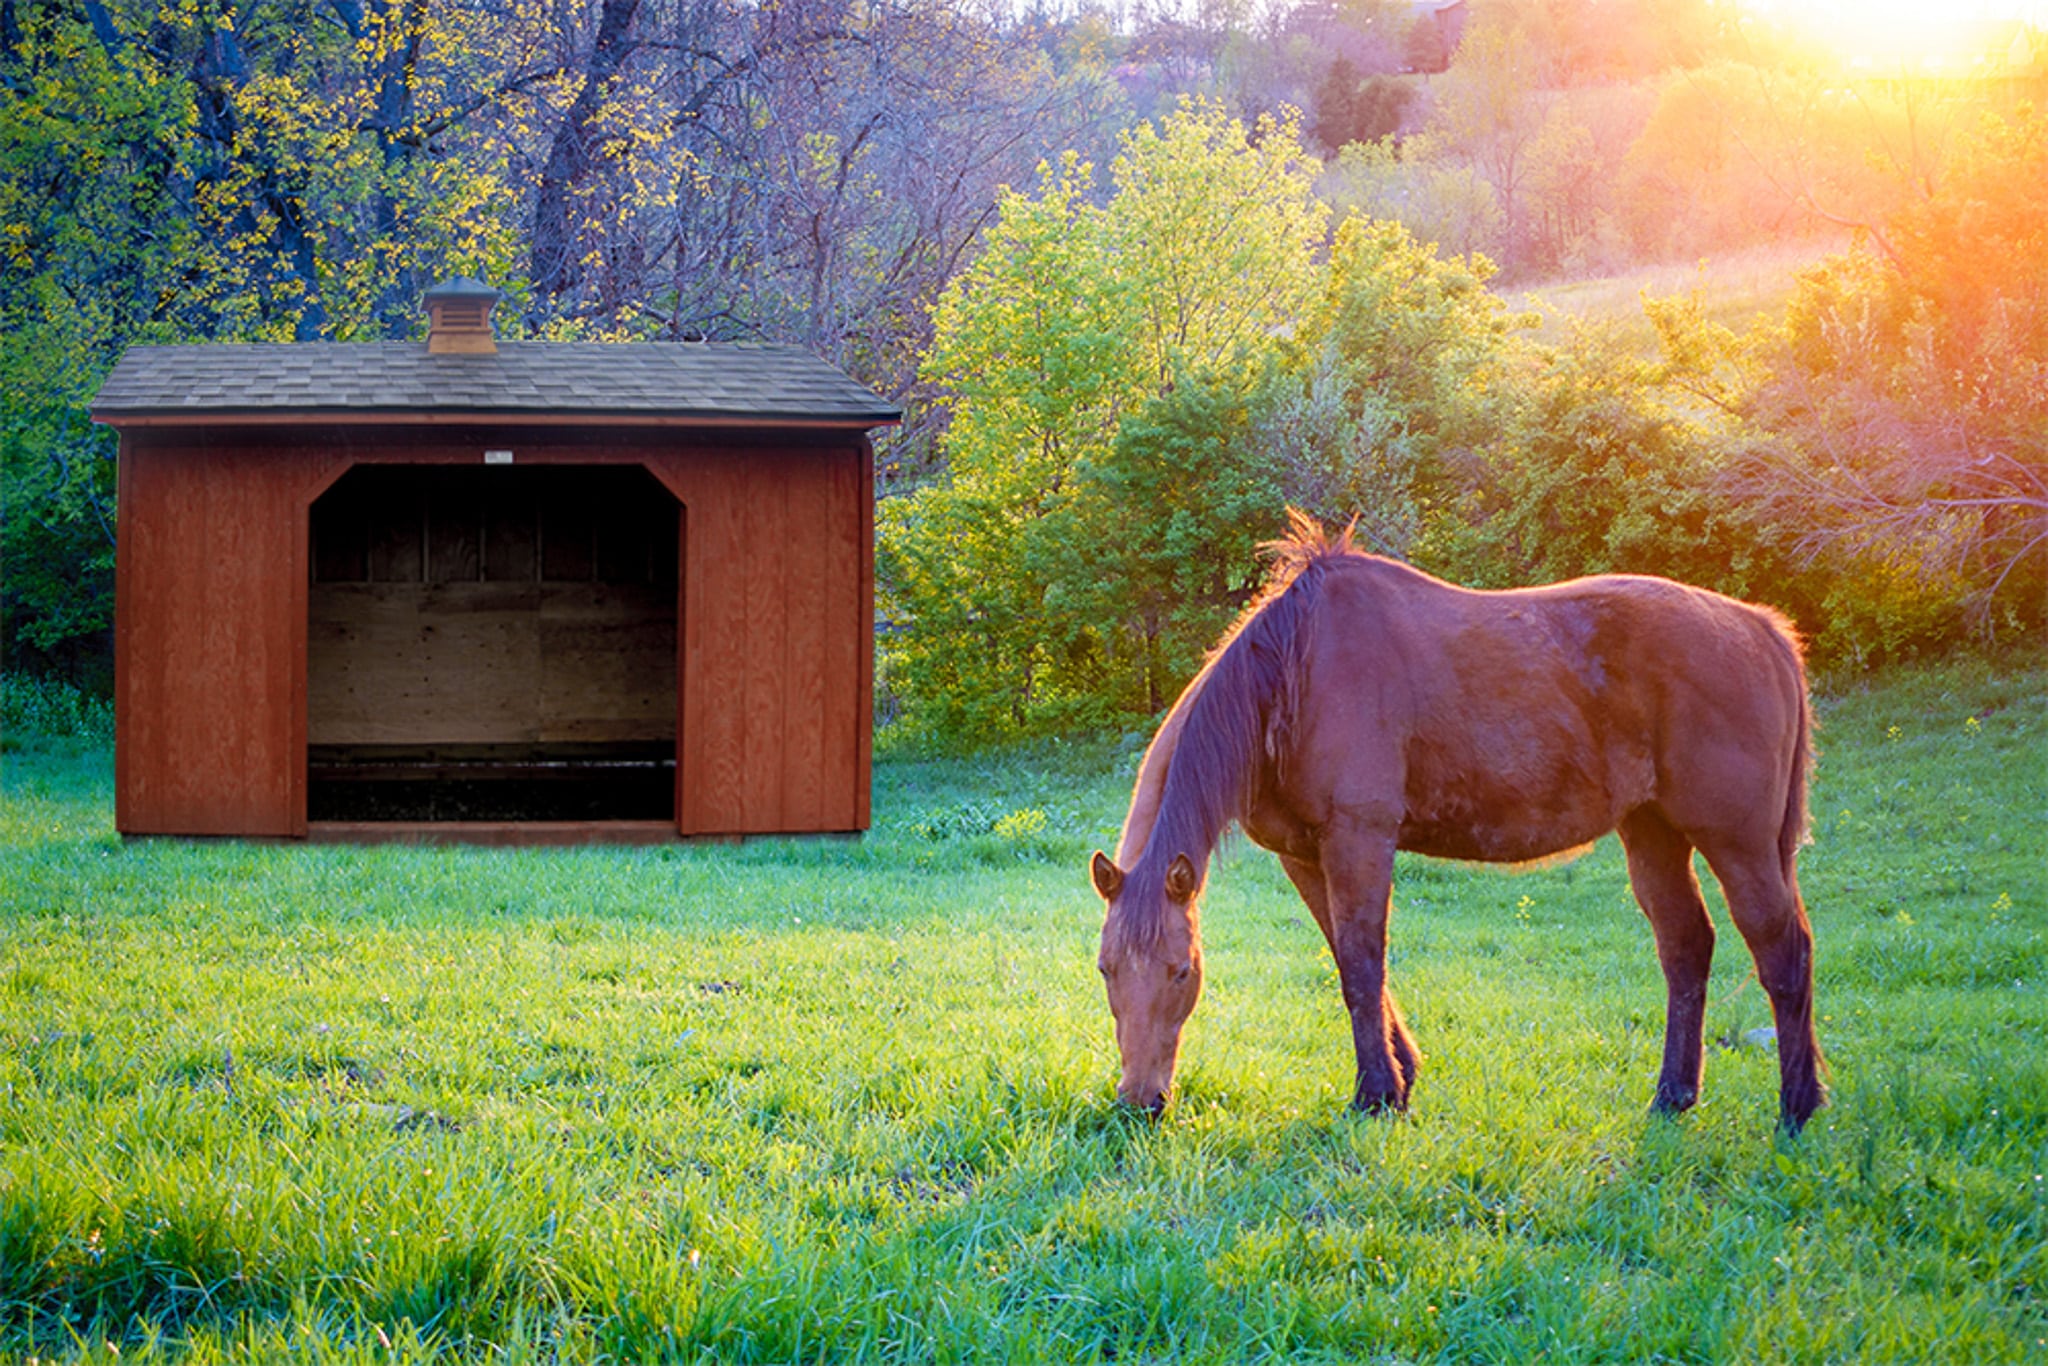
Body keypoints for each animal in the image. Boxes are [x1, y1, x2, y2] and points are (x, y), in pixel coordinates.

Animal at [1089, 511, 1826, 1130]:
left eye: (1181, 971)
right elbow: (1345, 958)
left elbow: (1363, 964)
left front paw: (1376, 1095)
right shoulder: (1303, 854)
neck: (1294, 677)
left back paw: (1798, 1107)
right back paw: (1673, 1097)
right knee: (1685, 948)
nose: (1139, 1103)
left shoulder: (1360, 837)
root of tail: (1762, 629)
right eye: (1105, 970)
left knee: (1782, 949)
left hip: (1737, 841)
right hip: (1652, 831)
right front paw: (1401, 1078)